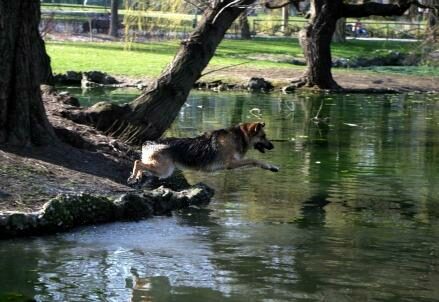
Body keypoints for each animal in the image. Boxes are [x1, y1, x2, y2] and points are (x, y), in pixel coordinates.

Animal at [128, 121, 278, 183]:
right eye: (263, 136)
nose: (273, 146)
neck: (239, 136)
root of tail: (151, 142)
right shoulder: (231, 163)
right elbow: (254, 160)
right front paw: (270, 166)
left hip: (162, 169)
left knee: (141, 163)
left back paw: (138, 176)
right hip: (164, 170)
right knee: (138, 162)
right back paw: (134, 176)